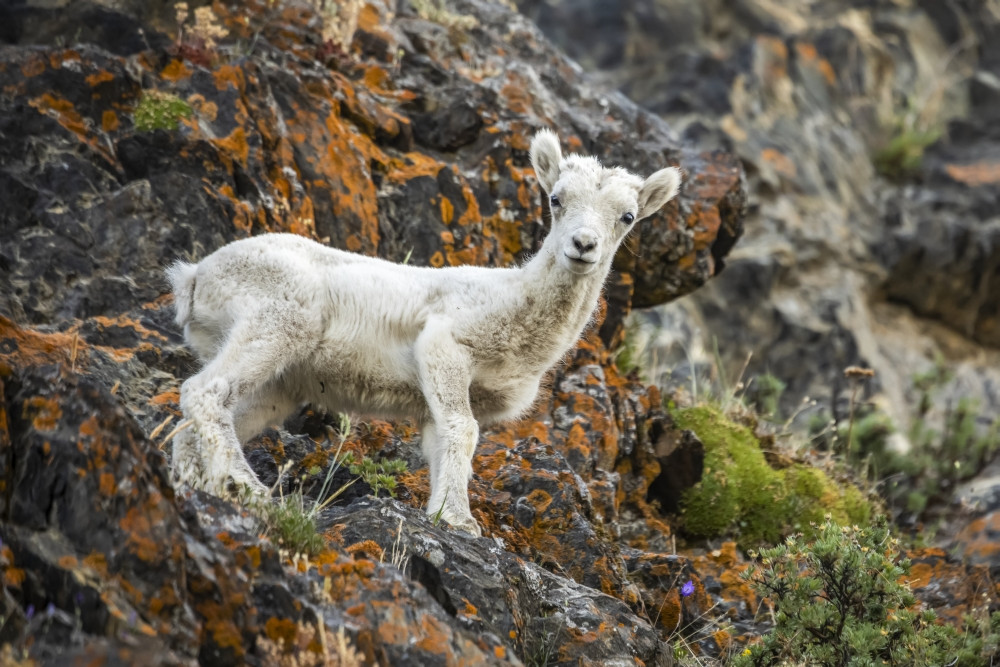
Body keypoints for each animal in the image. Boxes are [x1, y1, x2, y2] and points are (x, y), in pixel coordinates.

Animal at [168, 130, 681, 536]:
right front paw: (460, 521)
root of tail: (194, 277)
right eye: (556, 199)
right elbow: (464, 431)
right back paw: (246, 487)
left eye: (627, 216)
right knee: (204, 391)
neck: (517, 310)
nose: (583, 245)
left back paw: (201, 485)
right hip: (278, 322)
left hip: (278, 385)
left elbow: (443, 443)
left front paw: (444, 513)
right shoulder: (443, 349)